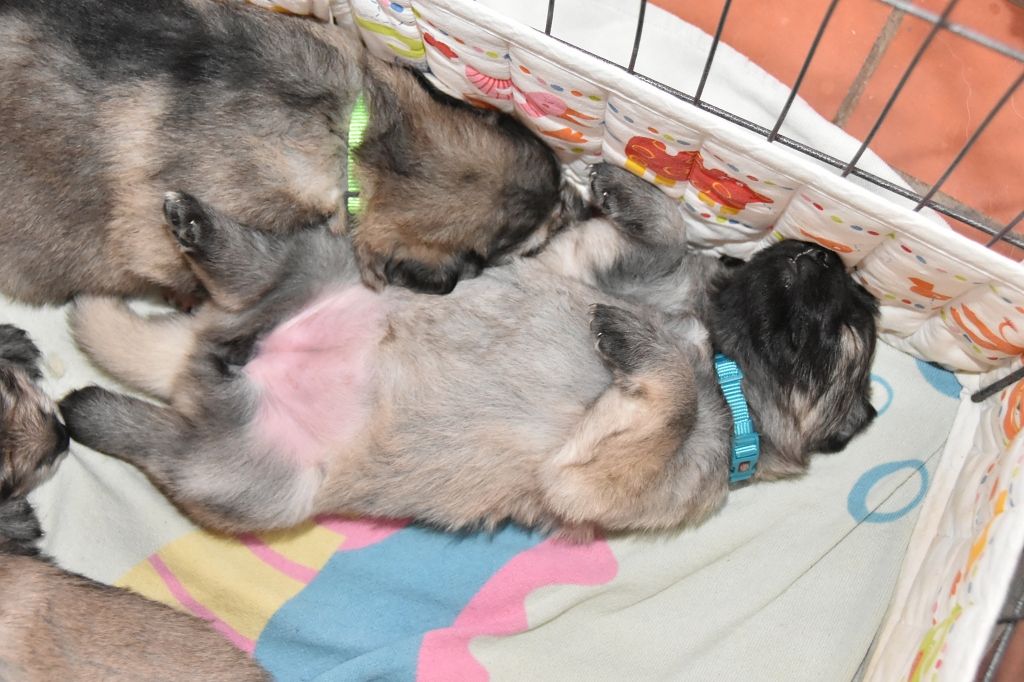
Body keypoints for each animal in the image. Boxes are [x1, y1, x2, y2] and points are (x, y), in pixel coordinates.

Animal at [59, 164, 879, 538]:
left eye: (852, 325)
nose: (821, 255)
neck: (726, 357)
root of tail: (204, 357)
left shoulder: (596, 477)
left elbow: (671, 391)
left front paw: (633, 339)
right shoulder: (598, 263)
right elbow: (670, 231)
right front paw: (618, 186)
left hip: (250, 479)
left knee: (163, 443)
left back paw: (88, 406)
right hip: (315, 263)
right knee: (243, 267)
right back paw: (194, 224)